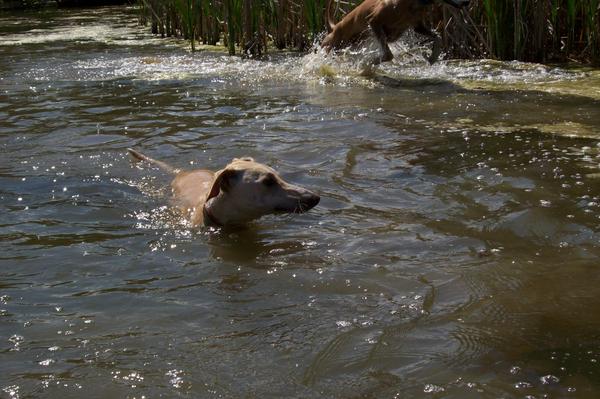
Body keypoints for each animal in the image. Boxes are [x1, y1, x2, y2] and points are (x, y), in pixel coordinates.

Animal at [324, 0, 468, 64]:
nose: (467, 2)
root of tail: (335, 26)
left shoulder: (418, 26)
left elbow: (437, 37)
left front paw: (432, 56)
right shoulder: (374, 21)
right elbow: (388, 54)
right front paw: (370, 61)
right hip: (332, 44)